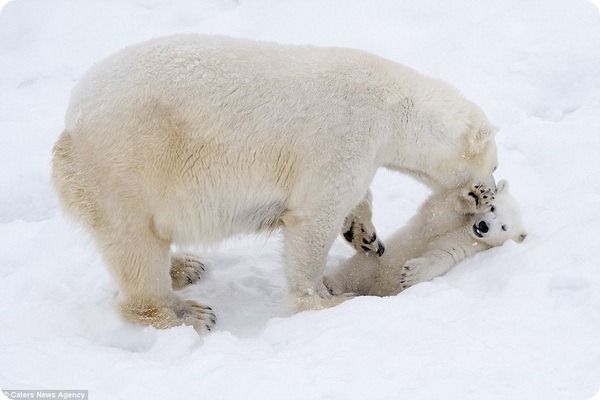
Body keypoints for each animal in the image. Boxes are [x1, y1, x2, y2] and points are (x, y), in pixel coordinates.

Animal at [51, 35, 500, 334]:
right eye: (494, 165)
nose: (490, 189)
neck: (392, 107)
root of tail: (69, 126)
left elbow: (352, 198)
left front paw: (364, 233)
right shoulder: (342, 138)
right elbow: (312, 219)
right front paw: (327, 299)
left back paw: (185, 266)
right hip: (126, 169)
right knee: (135, 248)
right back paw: (188, 312)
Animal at [326, 180, 528, 296]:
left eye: (504, 227)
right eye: (493, 208)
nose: (484, 226)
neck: (466, 230)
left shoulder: (469, 245)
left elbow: (443, 255)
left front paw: (408, 274)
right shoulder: (450, 224)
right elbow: (437, 212)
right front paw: (475, 197)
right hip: (373, 263)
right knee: (352, 273)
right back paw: (332, 285)